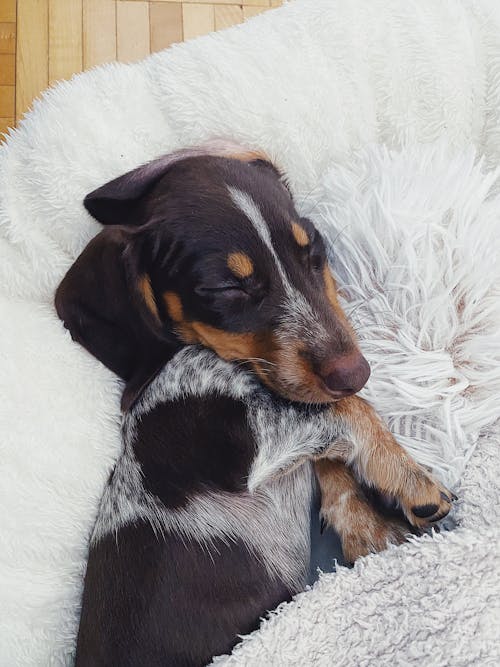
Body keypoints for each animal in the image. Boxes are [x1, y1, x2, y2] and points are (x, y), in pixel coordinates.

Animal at [55, 142, 458, 667]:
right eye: (228, 288)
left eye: (313, 252)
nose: (356, 373)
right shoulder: (247, 444)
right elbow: (346, 412)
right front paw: (408, 479)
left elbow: (324, 441)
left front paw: (367, 527)